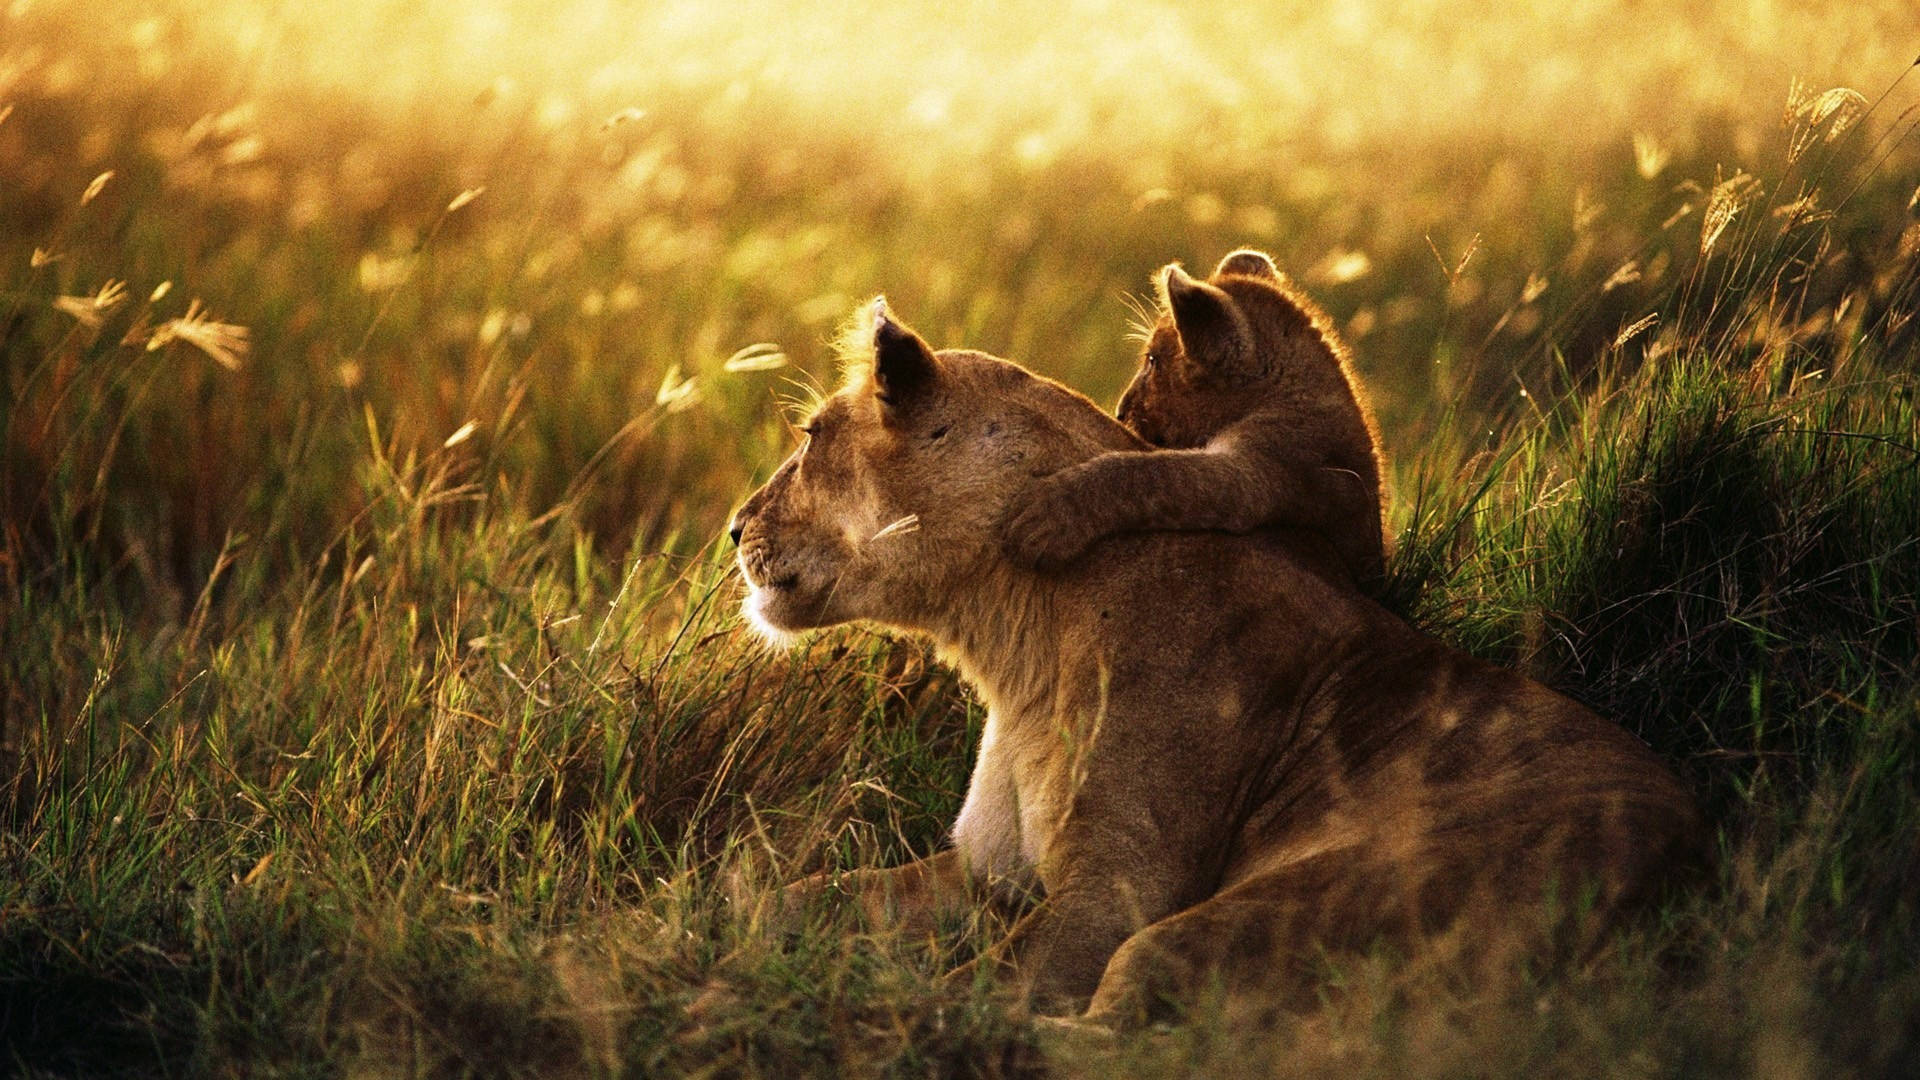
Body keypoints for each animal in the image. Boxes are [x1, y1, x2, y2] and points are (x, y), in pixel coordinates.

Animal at [729, 300, 1702, 1026]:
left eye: (811, 435)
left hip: (1258, 913)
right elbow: (795, 894)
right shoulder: (984, 871)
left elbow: (978, 990)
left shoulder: (1117, 891)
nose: (735, 528)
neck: (1013, 640)